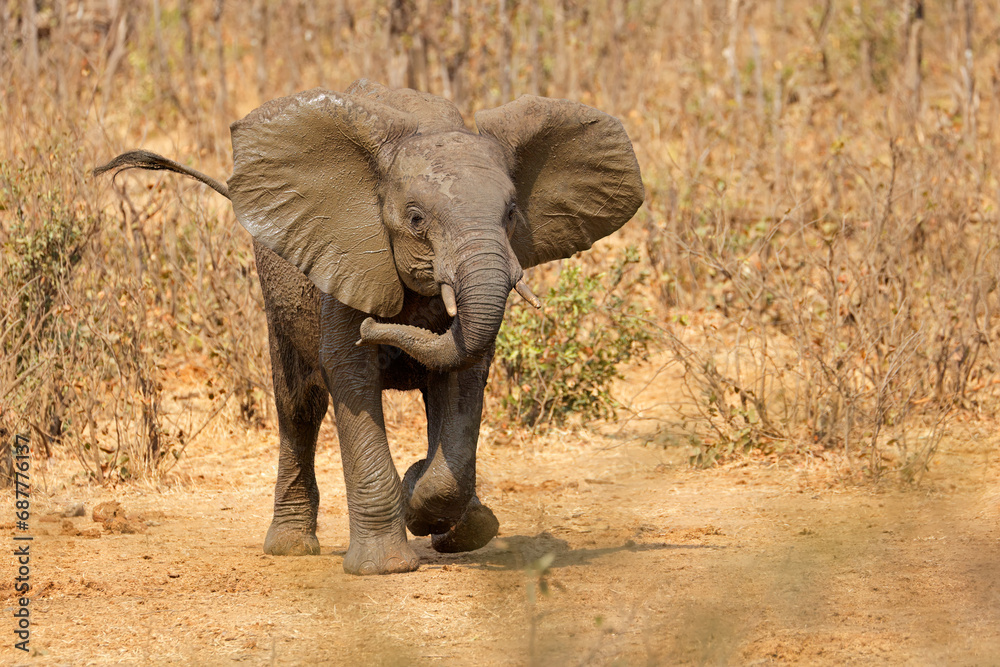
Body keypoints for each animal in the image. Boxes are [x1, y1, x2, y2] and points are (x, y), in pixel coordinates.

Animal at [95, 79, 643, 575]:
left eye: (511, 214)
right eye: (416, 218)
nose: (376, 328)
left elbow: (465, 375)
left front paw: (426, 502)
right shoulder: (345, 257)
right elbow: (349, 372)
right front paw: (384, 565)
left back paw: (463, 525)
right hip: (276, 288)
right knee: (298, 404)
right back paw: (291, 549)